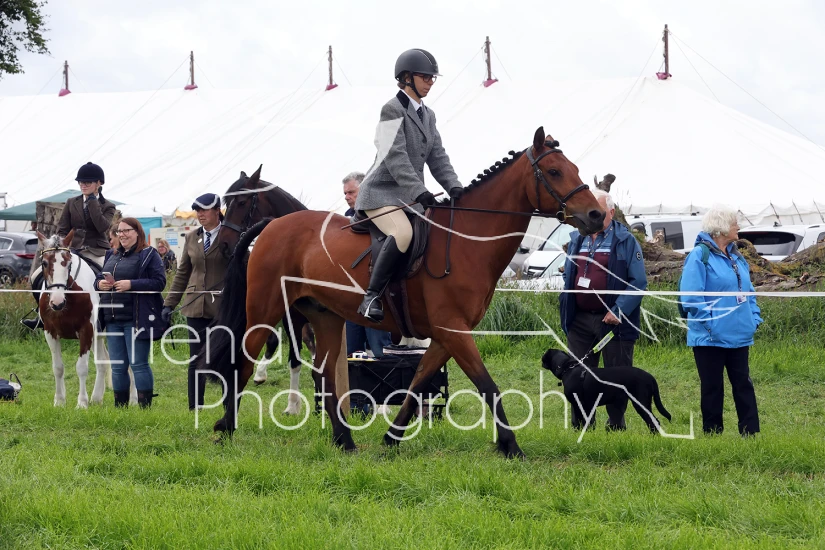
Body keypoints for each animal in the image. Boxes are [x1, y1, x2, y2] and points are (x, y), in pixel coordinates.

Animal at [36, 230, 137, 407]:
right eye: (45, 263)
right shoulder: (50, 332)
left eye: (68, 264)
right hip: (99, 336)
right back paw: (97, 398)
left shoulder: (86, 330)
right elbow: (58, 368)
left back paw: (133, 400)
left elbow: (81, 367)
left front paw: (81, 403)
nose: (57, 302)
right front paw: (59, 401)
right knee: (103, 361)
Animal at [216, 168, 317, 414]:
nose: (223, 244)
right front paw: (293, 405)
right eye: (226, 203)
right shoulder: (291, 312)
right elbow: (294, 356)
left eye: (242, 202)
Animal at [541, 348, 672, 433]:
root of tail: (650, 376)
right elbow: (587, 422)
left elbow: (580, 421)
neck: (568, 368)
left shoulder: (578, 404)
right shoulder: (588, 406)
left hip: (640, 402)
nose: (541, 362)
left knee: (653, 421)